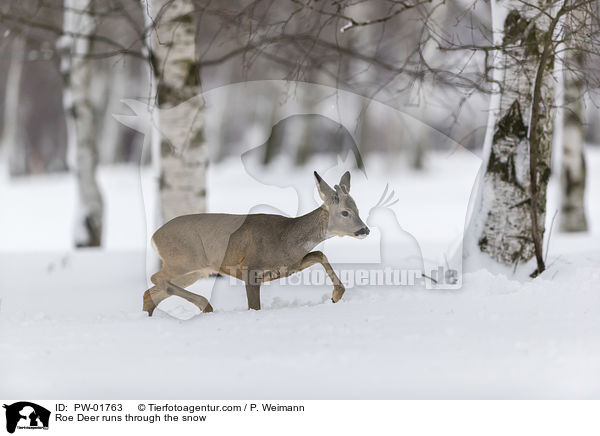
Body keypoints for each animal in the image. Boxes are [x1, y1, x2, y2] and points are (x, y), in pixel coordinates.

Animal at [145, 169, 370, 314]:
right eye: (345, 212)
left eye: (358, 209)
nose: (365, 230)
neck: (285, 239)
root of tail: (154, 236)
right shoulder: (249, 268)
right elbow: (254, 307)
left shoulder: (288, 266)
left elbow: (319, 254)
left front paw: (336, 295)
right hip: (183, 261)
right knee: (156, 279)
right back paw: (205, 306)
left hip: (192, 272)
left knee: (149, 294)